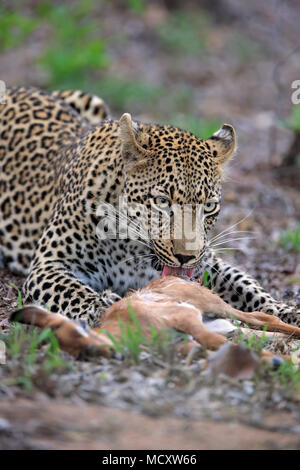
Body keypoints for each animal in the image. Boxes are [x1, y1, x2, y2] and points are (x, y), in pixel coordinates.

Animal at [0, 85, 298, 326]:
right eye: (162, 201)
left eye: (209, 206)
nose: (186, 257)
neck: (131, 247)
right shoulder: (49, 264)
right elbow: (74, 292)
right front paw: (102, 307)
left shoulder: (207, 262)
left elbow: (248, 286)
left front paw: (284, 311)